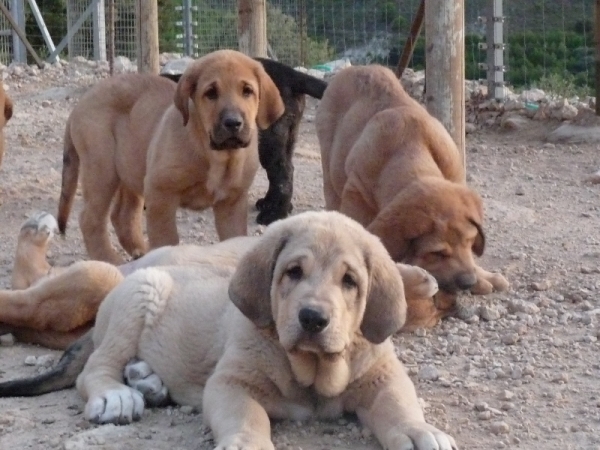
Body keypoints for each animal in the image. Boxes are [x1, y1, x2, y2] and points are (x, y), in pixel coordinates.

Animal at [58, 50, 284, 264]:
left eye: (248, 91)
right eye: (210, 93)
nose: (233, 123)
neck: (217, 155)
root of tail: (80, 104)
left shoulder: (232, 202)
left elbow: (234, 238)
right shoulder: (160, 192)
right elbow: (166, 238)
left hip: (131, 169)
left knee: (123, 216)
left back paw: (141, 252)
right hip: (102, 169)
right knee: (90, 219)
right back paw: (109, 259)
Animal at [316, 65, 508, 314]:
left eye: (469, 241)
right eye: (436, 253)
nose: (468, 282)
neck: (409, 148)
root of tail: (354, 68)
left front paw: (484, 276)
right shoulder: (356, 193)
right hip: (329, 168)